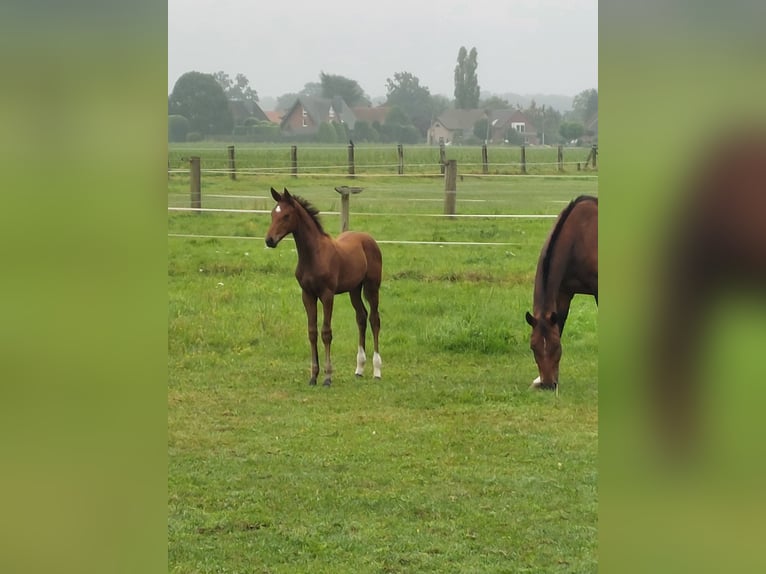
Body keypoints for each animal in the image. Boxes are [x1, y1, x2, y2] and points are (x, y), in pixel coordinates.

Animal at [266, 189, 382, 388]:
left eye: (286, 215)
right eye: (273, 214)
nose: (269, 240)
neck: (314, 254)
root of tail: (369, 238)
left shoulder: (327, 295)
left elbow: (326, 333)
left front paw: (327, 377)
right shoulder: (307, 295)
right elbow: (312, 332)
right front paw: (313, 376)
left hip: (372, 287)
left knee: (374, 319)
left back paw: (377, 371)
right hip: (354, 289)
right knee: (361, 317)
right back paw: (359, 369)